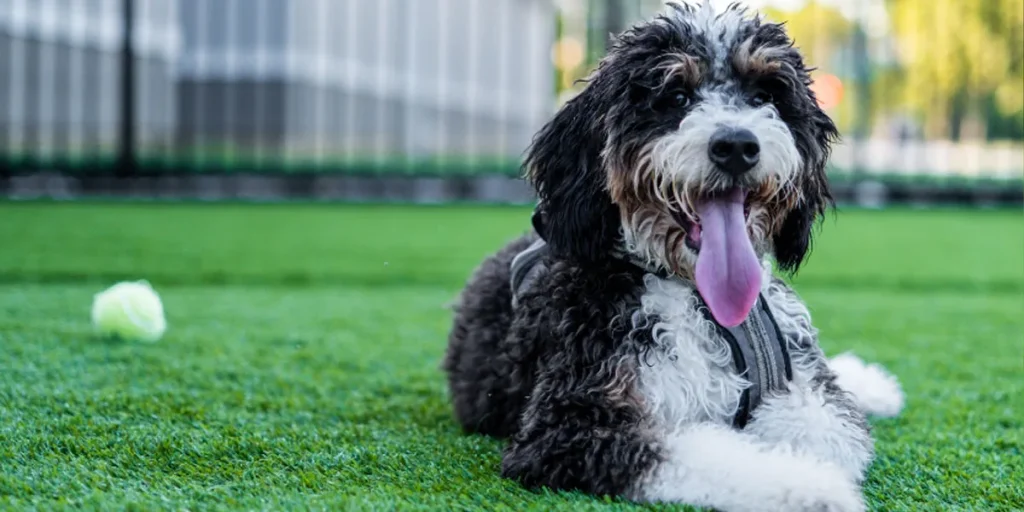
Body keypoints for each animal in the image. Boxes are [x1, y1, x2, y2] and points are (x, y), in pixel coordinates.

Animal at [442, 2, 905, 509]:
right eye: (675, 96)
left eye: (764, 95)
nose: (736, 145)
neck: (700, 298)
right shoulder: (570, 423)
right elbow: (703, 450)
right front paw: (812, 487)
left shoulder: (811, 395)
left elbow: (831, 430)